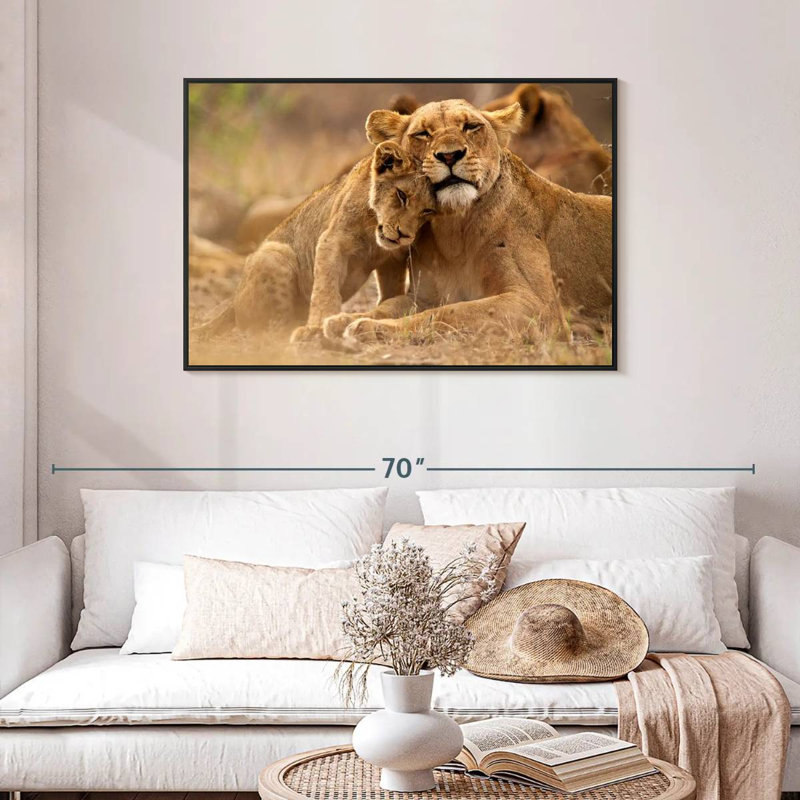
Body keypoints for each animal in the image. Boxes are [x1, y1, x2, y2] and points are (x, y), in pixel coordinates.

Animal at [191, 141, 436, 342]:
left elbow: (391, 291)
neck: (373, 231)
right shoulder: (332, 241)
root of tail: (232, 302)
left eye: (427, 211)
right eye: (401, 195)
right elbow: (325, 290)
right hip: (274, 253)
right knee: (268, 329)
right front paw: (317, 327)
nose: (404, 235)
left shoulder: (393, 258)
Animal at [331, 99, 611, 344]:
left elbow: (450, 312)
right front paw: (343, 319)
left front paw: (369, 328)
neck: (454, 230)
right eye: (422, 133)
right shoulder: (424, 295)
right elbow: (389, 305)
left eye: (471, 126)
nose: (450, 155)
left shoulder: (538, 305)